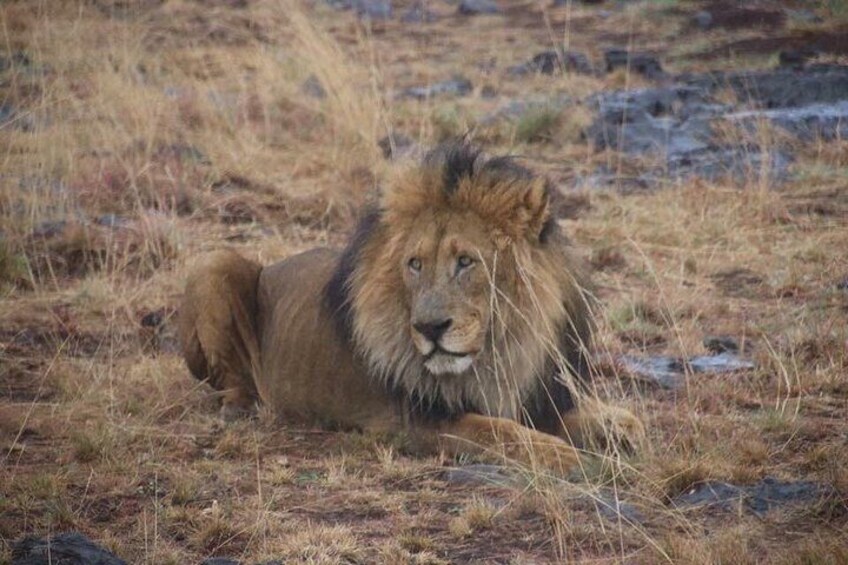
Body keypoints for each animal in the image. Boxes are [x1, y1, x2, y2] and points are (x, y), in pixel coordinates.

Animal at [178, 142, 643, 474]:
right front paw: (563, 455)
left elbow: (604, 418)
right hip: (212, 263)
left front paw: (620, 430)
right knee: (228, 381)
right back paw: (243, 408)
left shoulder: (541, 395)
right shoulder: (415, 420)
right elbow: (498, 432)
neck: (505, 347)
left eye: (466, 261)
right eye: (415, 264)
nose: (429, 328)